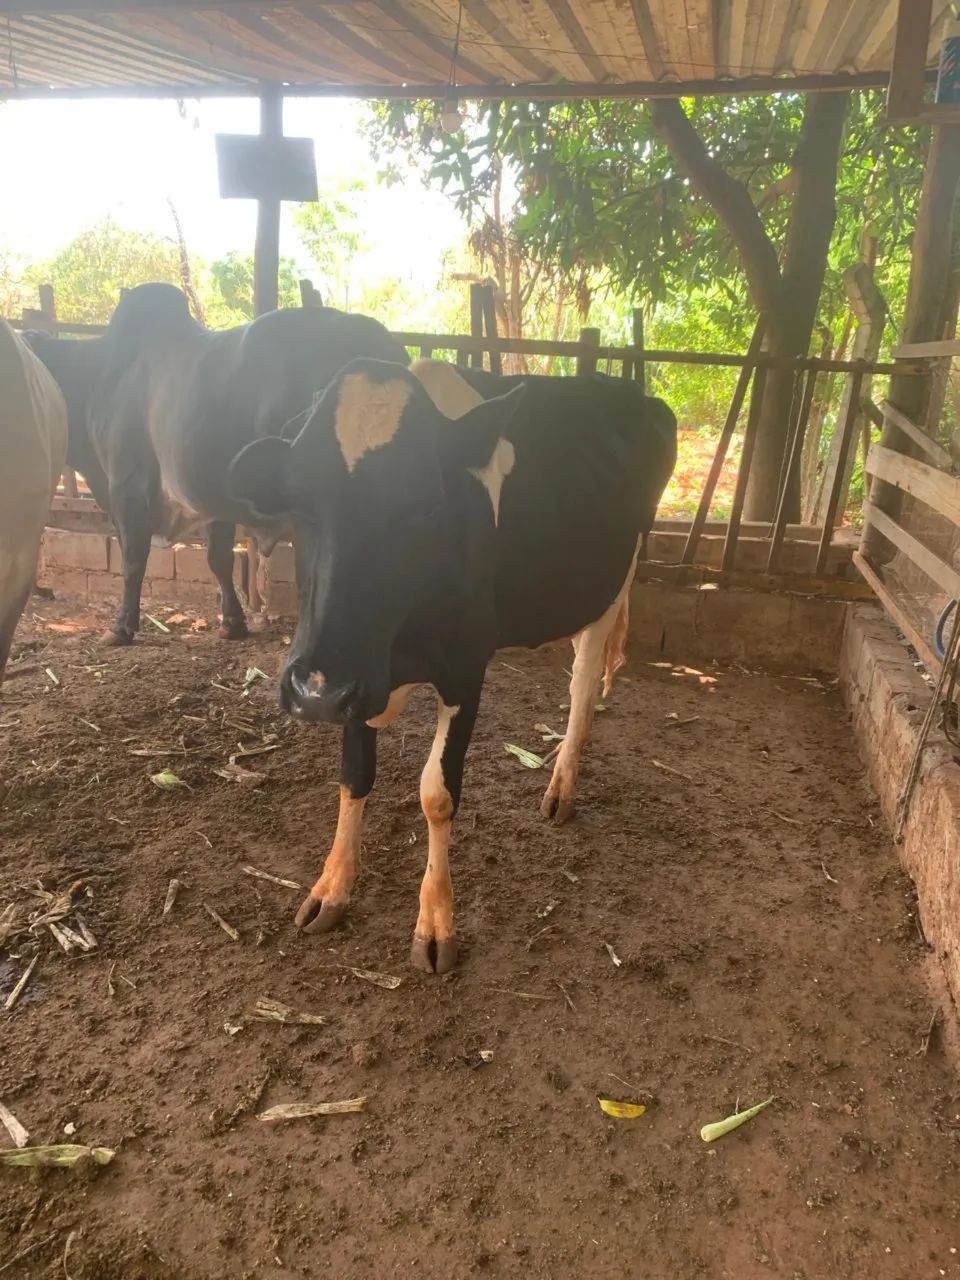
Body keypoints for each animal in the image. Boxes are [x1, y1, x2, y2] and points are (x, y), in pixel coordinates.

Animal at [26, 284, 408, 645]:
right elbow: (219, 558)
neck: (98, 378)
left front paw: (120, 628)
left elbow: (133, 559)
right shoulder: (211, 496)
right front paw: (233, 623)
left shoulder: (127, 486)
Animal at [228, 357, 677, 974]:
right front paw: (331, 888)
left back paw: (561, 785)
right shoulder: (356, 677)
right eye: (299, 502)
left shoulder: (465, 668)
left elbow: (437, 794)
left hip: (611, 585)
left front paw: (436, 924)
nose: (312, 689)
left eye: (424, 507)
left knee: (584, 685)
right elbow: (354, 776)